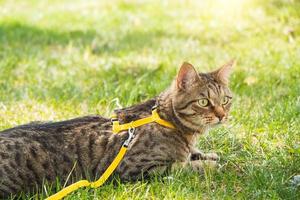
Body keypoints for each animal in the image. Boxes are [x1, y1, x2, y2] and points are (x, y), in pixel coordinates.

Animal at [0, 60, 234, 197]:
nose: (222, 115)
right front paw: (209, 165)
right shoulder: (138, 169)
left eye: (225, 100)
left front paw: (209, 156)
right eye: (204, 102)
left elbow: (195, 154)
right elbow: (182, 166)